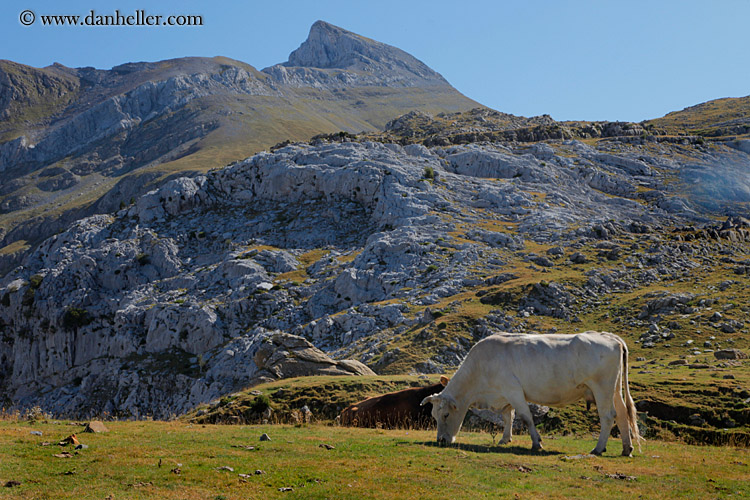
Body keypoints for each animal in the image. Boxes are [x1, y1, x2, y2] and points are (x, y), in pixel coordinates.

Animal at [420, 332, 644, 458]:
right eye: (433, 416)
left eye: (446, 415)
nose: (441, 440)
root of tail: (609, 337)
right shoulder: (505, 395)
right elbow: (508, 417)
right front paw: (505, 439)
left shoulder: (513, 390)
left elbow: (526, 418)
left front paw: (537, 443)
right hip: (614, 389)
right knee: (622, 414)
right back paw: (627, 449)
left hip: (601, 387)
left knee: (608, 416)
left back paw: (598, 449)